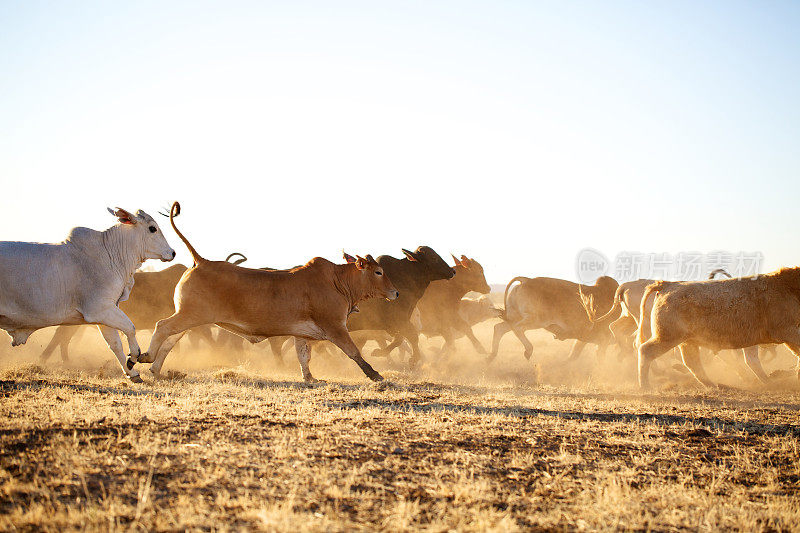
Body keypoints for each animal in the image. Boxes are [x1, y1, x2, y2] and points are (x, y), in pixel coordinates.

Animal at [0, 206, 175, 380]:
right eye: (152, 228)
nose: (172, 252)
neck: (110, 254)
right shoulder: (100, 309)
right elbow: (130, 328)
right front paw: (133, 357)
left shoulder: (105, 313)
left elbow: (115, 344)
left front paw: (131, 373)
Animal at [138, 202, 404, 380]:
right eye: (378, 271)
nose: (396, 293)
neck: (336, 281)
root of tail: (202, 261)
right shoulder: (335, 327)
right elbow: (353, 351)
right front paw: (375, 374)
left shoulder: (302, 334)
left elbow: (303, 356)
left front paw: (310, 378)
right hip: (191, 315)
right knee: (162, 327)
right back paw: (146, 357)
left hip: (191, 318)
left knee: (170, 340)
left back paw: (156, 370)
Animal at [488, 274, 620, 362]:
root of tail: (526, 280)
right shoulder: (603, 340)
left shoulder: (585, 339)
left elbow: (573, 355)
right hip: (536, 320)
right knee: (517, 328)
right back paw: (528, 351)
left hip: (515, 317)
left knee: (499, 328)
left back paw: (490, 357)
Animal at [636, 268, 800, 388]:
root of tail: (668, 284)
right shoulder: (789, 332)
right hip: (667, 337)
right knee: (646, 351)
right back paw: (645, 386)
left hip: (687, 341)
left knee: (692, 362)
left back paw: (712, 384)